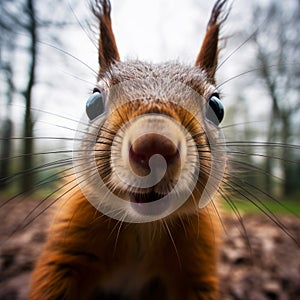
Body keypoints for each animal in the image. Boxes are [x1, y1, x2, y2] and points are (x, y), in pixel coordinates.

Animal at [29, 0, 229, 300]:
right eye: (92, 103)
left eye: (217, 108)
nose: (154, 146)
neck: (143, 226)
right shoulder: (68, 250)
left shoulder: (196, 264)